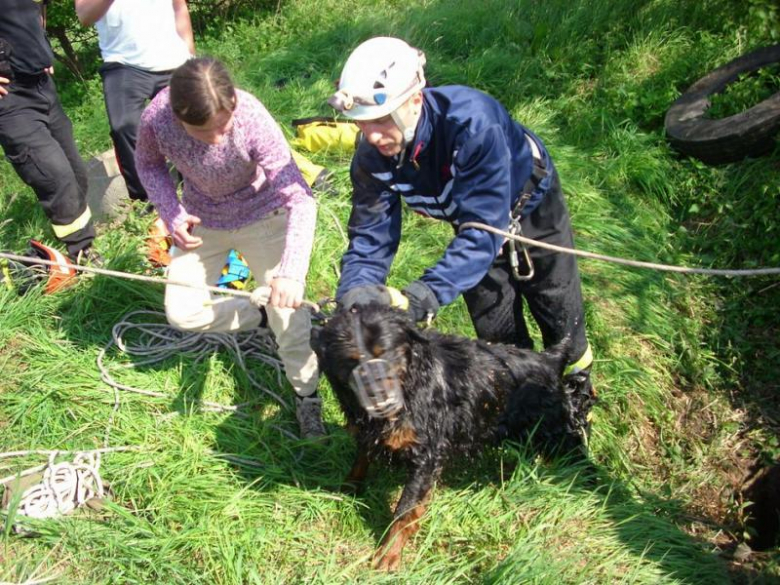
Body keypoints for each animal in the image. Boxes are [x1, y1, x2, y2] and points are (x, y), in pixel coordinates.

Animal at [310, 304, 592, 568]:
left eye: (386, 354)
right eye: (352, 361)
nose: (380, 398)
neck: (410, 385)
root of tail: (551, 360)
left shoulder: (427, 454)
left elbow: (405, 510)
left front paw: (389, 553)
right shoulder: (369, 431)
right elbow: (361, 459)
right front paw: (348, 489)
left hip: (555, 429)